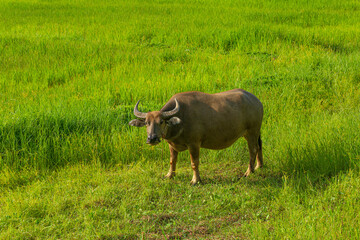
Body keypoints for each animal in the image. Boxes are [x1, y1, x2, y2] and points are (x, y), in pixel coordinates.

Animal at [128, 89, 262, 185]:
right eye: (147, 122)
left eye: (161, 121)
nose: (152, 138)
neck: (180, 120)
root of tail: (256, 101)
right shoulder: (172, 145)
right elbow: (172, 161)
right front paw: (169, 175)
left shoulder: (194, 144)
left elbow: (194, 163)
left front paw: (195, 180)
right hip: (254, 133)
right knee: (259, 147)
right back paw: (259, 166)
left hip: (252, 132)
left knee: (253, 150)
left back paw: (249, 172)